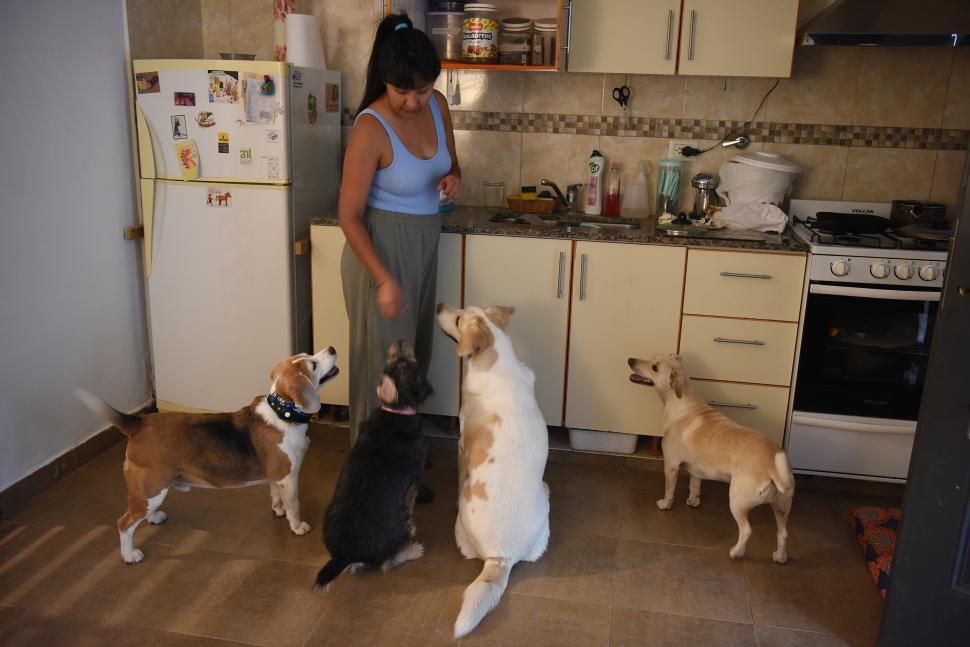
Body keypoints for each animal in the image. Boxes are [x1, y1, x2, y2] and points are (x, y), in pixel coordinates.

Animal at [74, 346, 336, 564]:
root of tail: (138, 422)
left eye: (309, 355)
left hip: (152, 490)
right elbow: (294, 505)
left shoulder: (276, 479)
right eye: (313, 364)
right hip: (151, 488)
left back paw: (154, 517)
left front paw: (278, 510)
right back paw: (129, 555)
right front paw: (297, 526)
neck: (283, 413)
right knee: (124, 523)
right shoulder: (288, 478)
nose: (332, 348)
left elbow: (275, 497)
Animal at [316, 340, 432, 588]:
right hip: (399, 521)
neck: (396, 411)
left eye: (394, 363)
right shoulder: (414, 480)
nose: (400, 340)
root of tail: (345, 554)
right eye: (406, 365)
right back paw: (413, 549)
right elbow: (412, 500)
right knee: (387, 563)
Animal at [434, 304, 548, 636]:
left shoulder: (460, 444)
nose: (439, 306)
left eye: (459, 319)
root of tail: (501, 557)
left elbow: (460, 471)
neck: (498, 364)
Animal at [628, 354, 796, 560]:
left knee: (747, 531)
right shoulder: (697, 470)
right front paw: (693, 502)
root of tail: (774, 467)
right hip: (782, 508)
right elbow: (694, 486)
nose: (630, 360)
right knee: (783, 533)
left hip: (737, 501)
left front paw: (665, 504)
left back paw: (736, 552)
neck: (681, 402)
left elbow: (669, 490)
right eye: (652, 359)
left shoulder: (671, 465)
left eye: (655, 367)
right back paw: (780, 557)